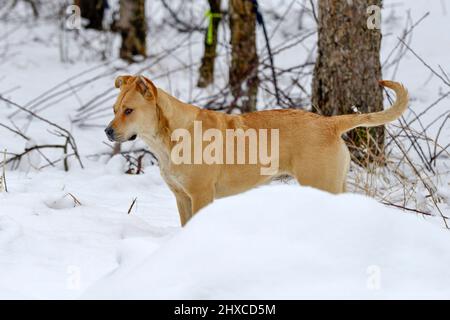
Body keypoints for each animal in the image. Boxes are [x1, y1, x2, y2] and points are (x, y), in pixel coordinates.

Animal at [107, 75, 410, 226]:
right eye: (114, 109)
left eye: (129, 110)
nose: (108, 131)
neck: (170, 137)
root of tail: (330, 122)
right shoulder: (181, 197)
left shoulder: (201, 195)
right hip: (335, 184)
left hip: (321, 183)